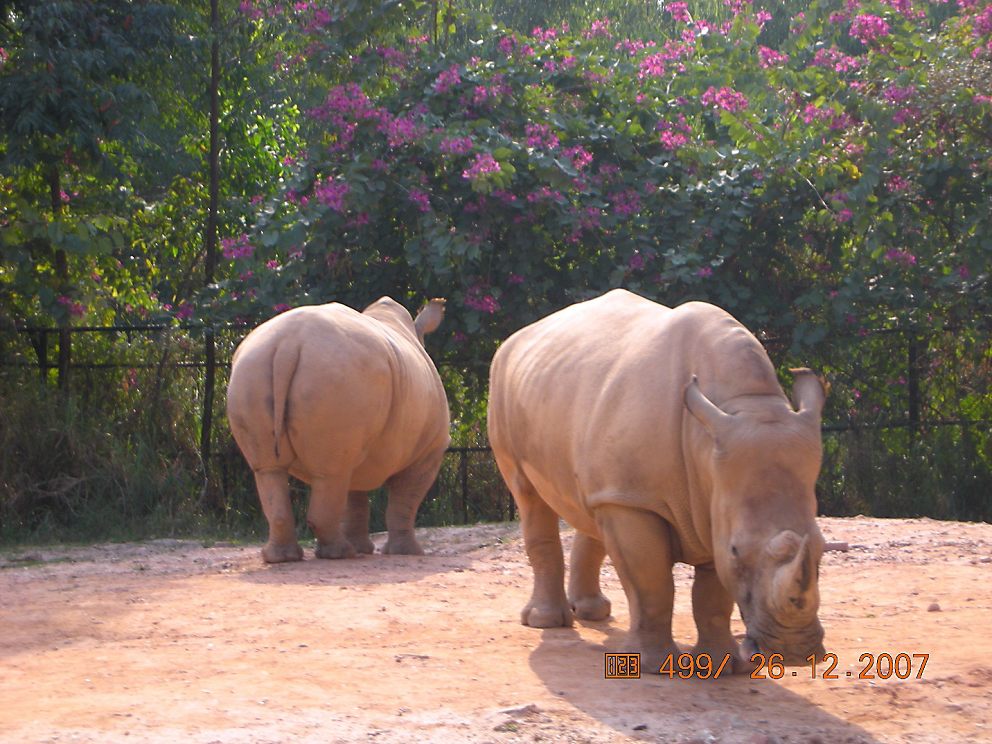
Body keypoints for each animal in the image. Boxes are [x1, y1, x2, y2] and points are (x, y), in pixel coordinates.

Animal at [227, 296, 448, 564]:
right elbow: (405, 500)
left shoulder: (361, 445)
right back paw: (341, 554)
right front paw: (408, 553)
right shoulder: (430, 449)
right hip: (338, 375)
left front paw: (365, 548)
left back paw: (283, 557)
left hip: (253, 369)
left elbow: (353, 499)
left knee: (272, 470)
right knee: (330, 475)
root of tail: (288, 343)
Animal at [488, 288, 828, 672]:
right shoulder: (638, 500)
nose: (795, 652)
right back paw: (546, 622)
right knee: (529, 496)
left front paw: (724, 668)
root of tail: (520, 336)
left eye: (822, 546)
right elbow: (651, 583)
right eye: (736, 549)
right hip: (504, 387)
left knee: (590, 502)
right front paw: (653, 665)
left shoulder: (712, 496)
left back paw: (592, 613)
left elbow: (713, 597)